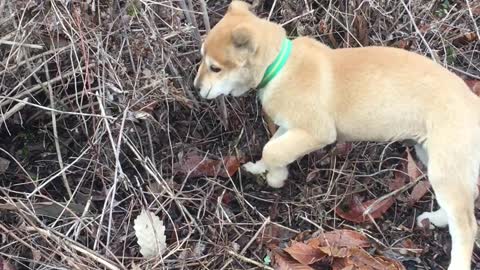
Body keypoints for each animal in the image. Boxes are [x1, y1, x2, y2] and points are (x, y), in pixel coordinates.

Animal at [193, 1, 480, 268]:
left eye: (215, 68)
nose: (195, 87)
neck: (279, 67)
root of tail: (473, 103)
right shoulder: (291, 127)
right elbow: (274, 147)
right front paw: (262, 168)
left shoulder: (316, 131)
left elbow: (272, 149)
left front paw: (275, 178)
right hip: (432, 157)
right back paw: (434, 220)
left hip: (444, 168)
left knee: (467, 224)